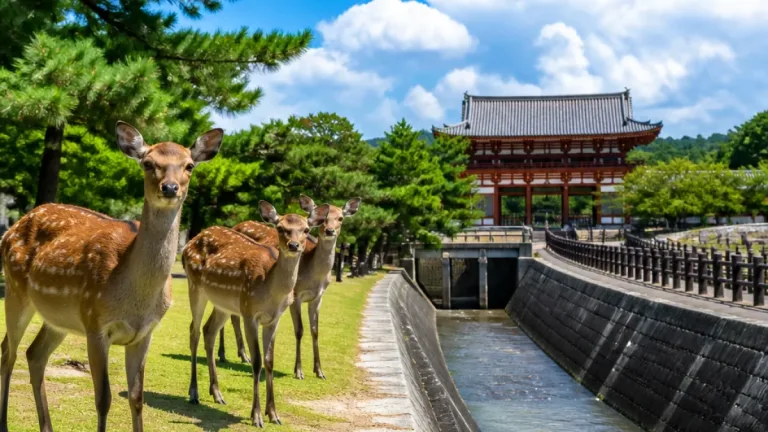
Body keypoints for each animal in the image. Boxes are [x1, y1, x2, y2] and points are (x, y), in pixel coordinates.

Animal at [0, 121, 223, 432]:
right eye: (148, 163)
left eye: (189, 165)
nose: (169, 187)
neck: (135, 300)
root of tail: (10, 229)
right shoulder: (95, 324)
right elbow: (103, 398)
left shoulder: (145, 332)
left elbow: (137, 398)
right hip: (15, 289)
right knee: (8, 352)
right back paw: (4, 423)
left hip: (59, 318)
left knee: (34, 354)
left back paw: (47, 426)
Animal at [182, 200, 330, 427]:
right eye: (281, 228)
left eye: (306, 229)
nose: (294, 245)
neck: (270, 289)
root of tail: (188, 243)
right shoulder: (249, 313)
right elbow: (257, 360)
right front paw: (257, 416)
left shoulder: (274, 319)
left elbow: (270, 361)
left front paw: (274, 414)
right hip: (195, 285)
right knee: (194, 331)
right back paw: (194, 393)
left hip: (223, 304)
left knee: (209, 331)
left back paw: (217, 394)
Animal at [225, 195, 361, 380]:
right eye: (325, 218)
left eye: (340, 218)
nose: (329, 231)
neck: (314, 276)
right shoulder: (296, 295)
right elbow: (299, 330)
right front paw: (298, 371)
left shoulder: (318, 297)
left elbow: (315, 330)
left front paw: (319, 371)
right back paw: (232, 355)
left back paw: (241, 355)